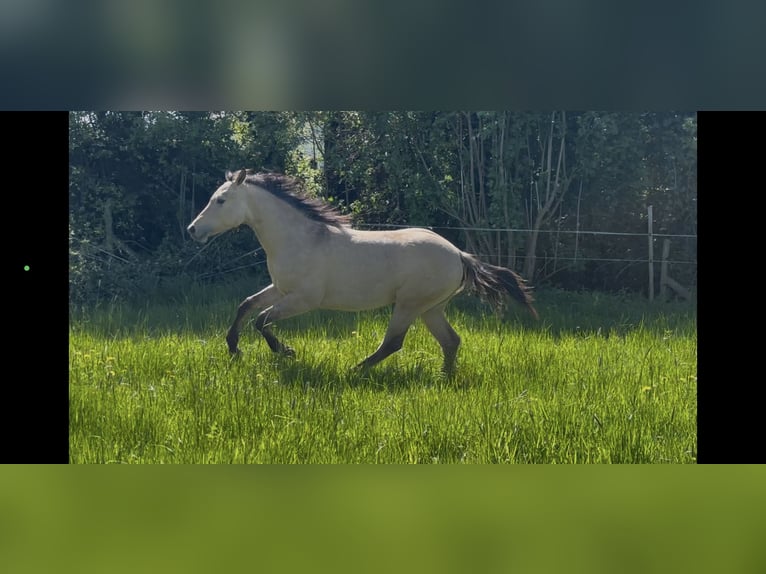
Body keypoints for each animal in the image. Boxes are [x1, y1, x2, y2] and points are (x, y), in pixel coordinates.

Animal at [187, 169, 538, 374]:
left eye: (221, 200)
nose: (192, 230)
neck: (300, 238)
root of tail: (460, 255)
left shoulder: (304, 299)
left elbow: (262, 320)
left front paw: (286, 352)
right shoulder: (281, 289)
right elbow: (246, 305)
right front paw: (234, 348)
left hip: (409, 304)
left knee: (393, 342)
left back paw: (355, 371)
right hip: (431, 308)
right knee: (450, 341)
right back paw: (444, 377)